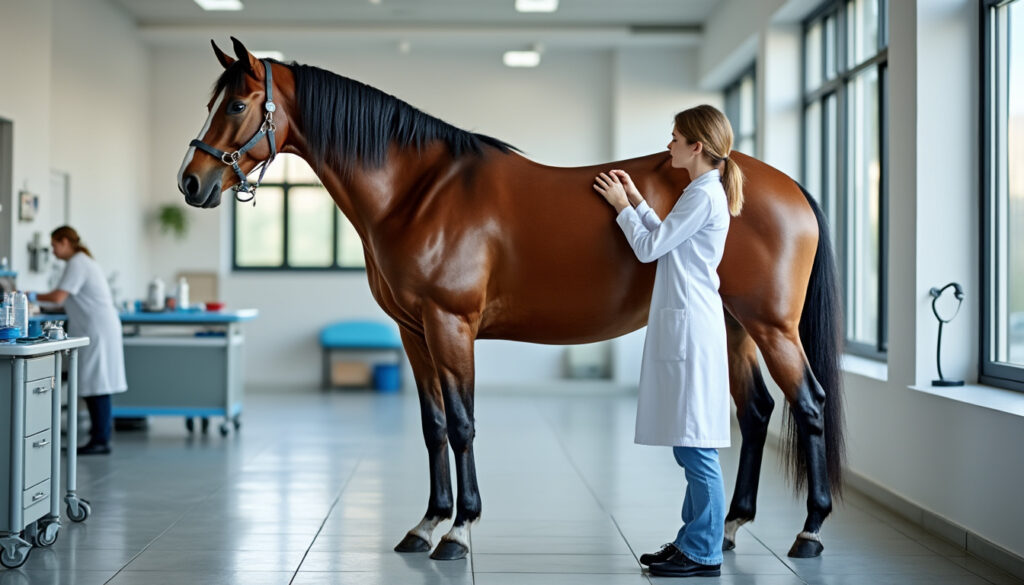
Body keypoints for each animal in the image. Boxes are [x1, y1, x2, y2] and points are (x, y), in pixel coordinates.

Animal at [177, 38, 845, 562]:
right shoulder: (414, 332)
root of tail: (784, 185)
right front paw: (425, 525)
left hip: (771, 325)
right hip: (734, 324)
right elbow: (433, 425)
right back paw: (730, 527)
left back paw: (810, 532)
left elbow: (463, 424)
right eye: (209, 103)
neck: (417, 192)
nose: (191, 182)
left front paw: (459, 531)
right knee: (756, 411)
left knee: (807, 404)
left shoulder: (449, 324)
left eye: (237, 104)